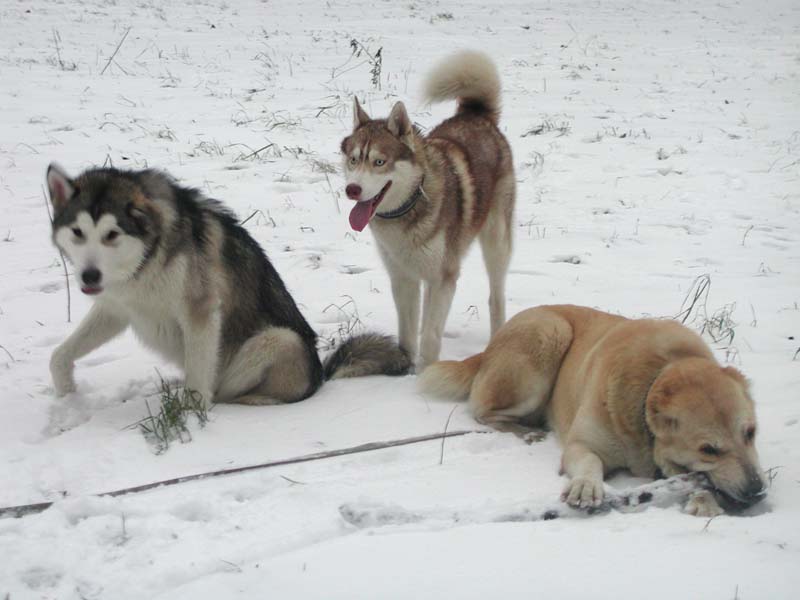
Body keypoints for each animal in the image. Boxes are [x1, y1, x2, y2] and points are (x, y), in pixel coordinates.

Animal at [416, 304, 764, 516]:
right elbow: (589, 462)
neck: (658, 372)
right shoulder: (581, 445)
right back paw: (529, 432)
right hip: (549, 334)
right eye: (708, 449)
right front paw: (586, 485)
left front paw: (704, 501)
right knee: (483, 412)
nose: (758, 491)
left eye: (750, 433)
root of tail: (487, 348)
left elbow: (694, 479)